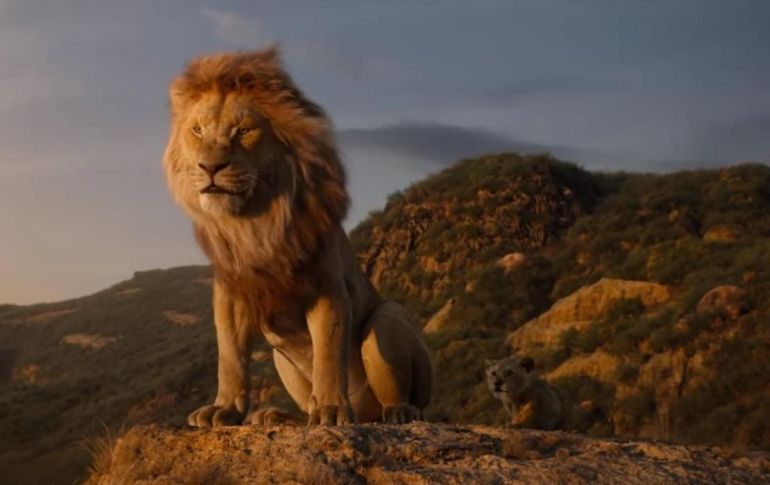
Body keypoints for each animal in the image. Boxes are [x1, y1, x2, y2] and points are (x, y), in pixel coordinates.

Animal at [163, 47, 433, 427]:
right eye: (197, 130)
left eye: (243, 130)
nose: (210, 168)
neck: (254, 222)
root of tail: (366, 415)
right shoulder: (230, 294)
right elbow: (230, 358)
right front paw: (224, 409)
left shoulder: (327, 288)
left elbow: (329, 355)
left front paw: (332, 410)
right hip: (282, 359)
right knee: (304, 404)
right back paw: (276, 416)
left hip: (388, 318)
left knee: (404, 398)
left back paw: (398, 411)